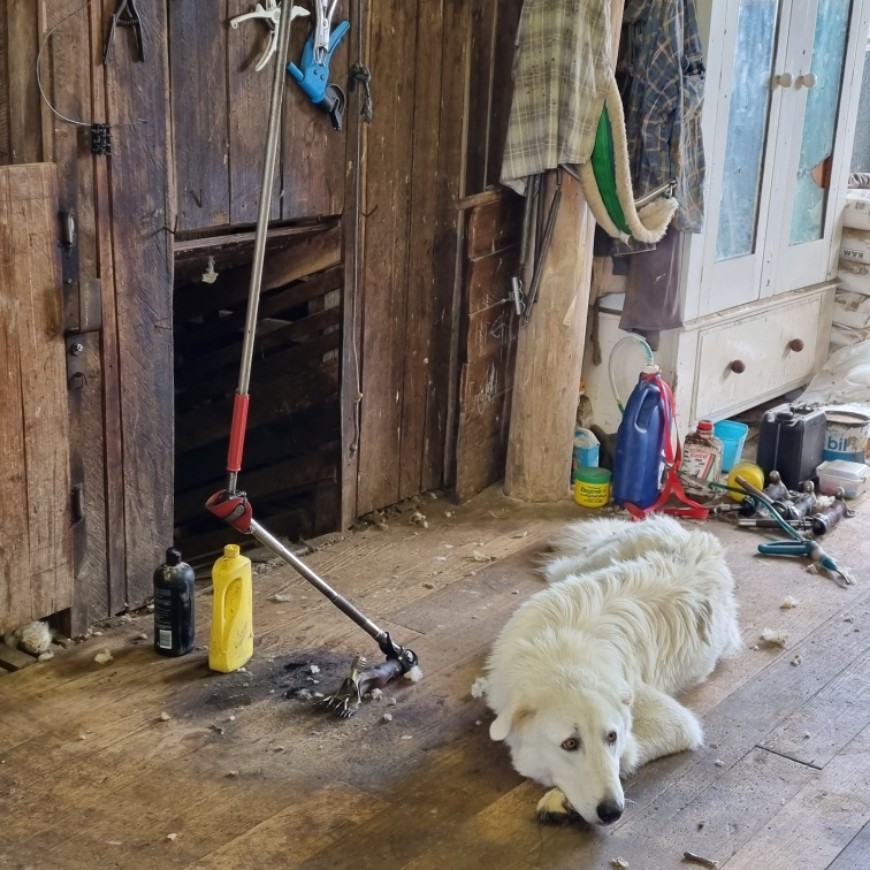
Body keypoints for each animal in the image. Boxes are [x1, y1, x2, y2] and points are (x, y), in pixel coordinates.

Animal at [484, 516, 744, 828]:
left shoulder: (679, 724)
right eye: (570, 744)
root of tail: (694, 534)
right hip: (584, 564)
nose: (613, 812)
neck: (563, 657)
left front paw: (562, 800)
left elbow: (629, 753)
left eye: (612, 737)